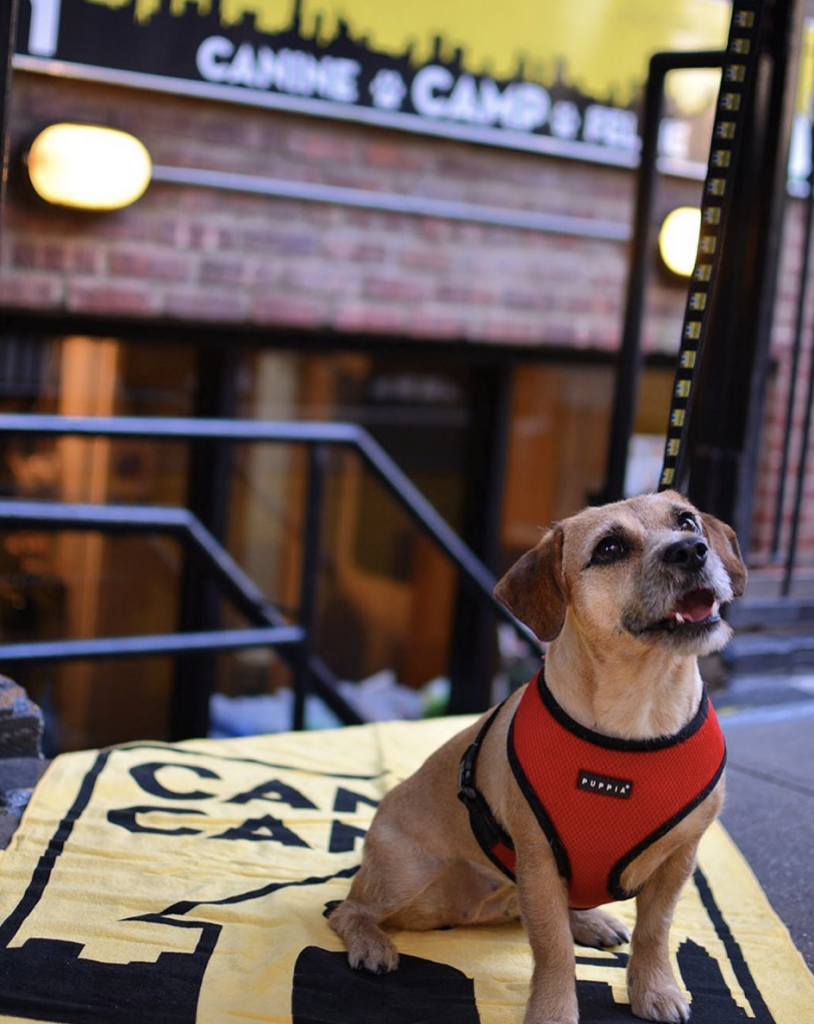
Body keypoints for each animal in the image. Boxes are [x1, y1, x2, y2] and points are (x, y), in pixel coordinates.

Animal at [327, 491, 749, 1019]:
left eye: (688, 522)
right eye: (609, 548)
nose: (691, 550)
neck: (640, 709)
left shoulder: (678, 859)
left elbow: (655, 930)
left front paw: (655, 989)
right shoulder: (540, 863)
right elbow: (553, 948)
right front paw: (553, 1011)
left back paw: (589, 920)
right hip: (409, 875)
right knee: (347, 910)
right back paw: (371, 942)